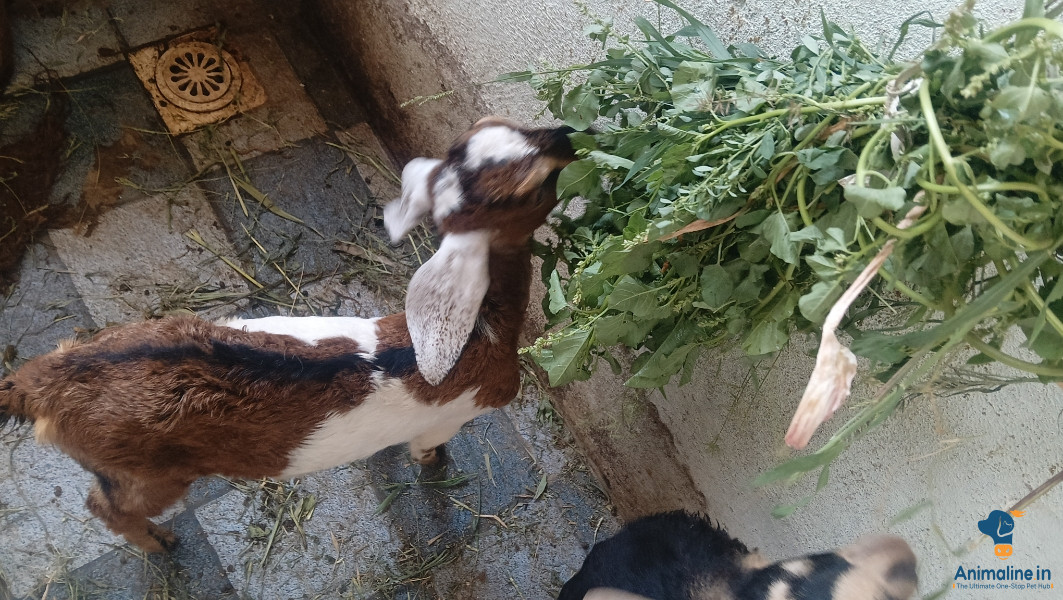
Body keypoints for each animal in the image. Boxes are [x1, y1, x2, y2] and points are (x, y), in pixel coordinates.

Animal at [0, 117, 577, 553]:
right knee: (105, 506)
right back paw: (159, 543)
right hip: (146, 475)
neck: (479, 333)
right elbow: (427, 449)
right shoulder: (453, 414)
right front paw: (435, 465)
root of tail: (42, 386)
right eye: (531, 188)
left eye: (508, 126)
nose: (567, 134)